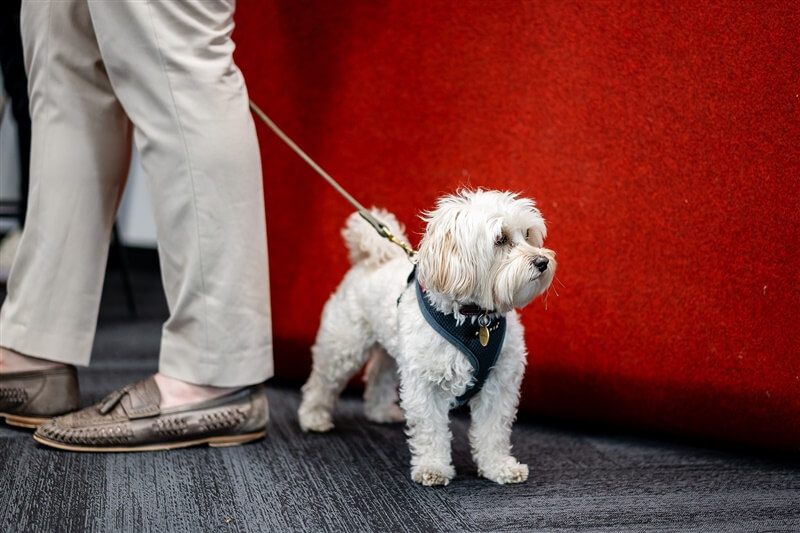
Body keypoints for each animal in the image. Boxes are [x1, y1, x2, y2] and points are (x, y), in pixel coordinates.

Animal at [300, 189, 556, 484]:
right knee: (321, 381)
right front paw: (433, 468)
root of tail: (372, 260)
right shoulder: (425, 384)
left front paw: (499, 466)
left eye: (527, 234)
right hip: (343, 346)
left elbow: (494, 432)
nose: (542, 261)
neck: (473, 319)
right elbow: (431, 431)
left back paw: (380, 411)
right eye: (500, 239)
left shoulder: (499, 383)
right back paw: (313, 417)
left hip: (394, 351)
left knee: (377, 374)